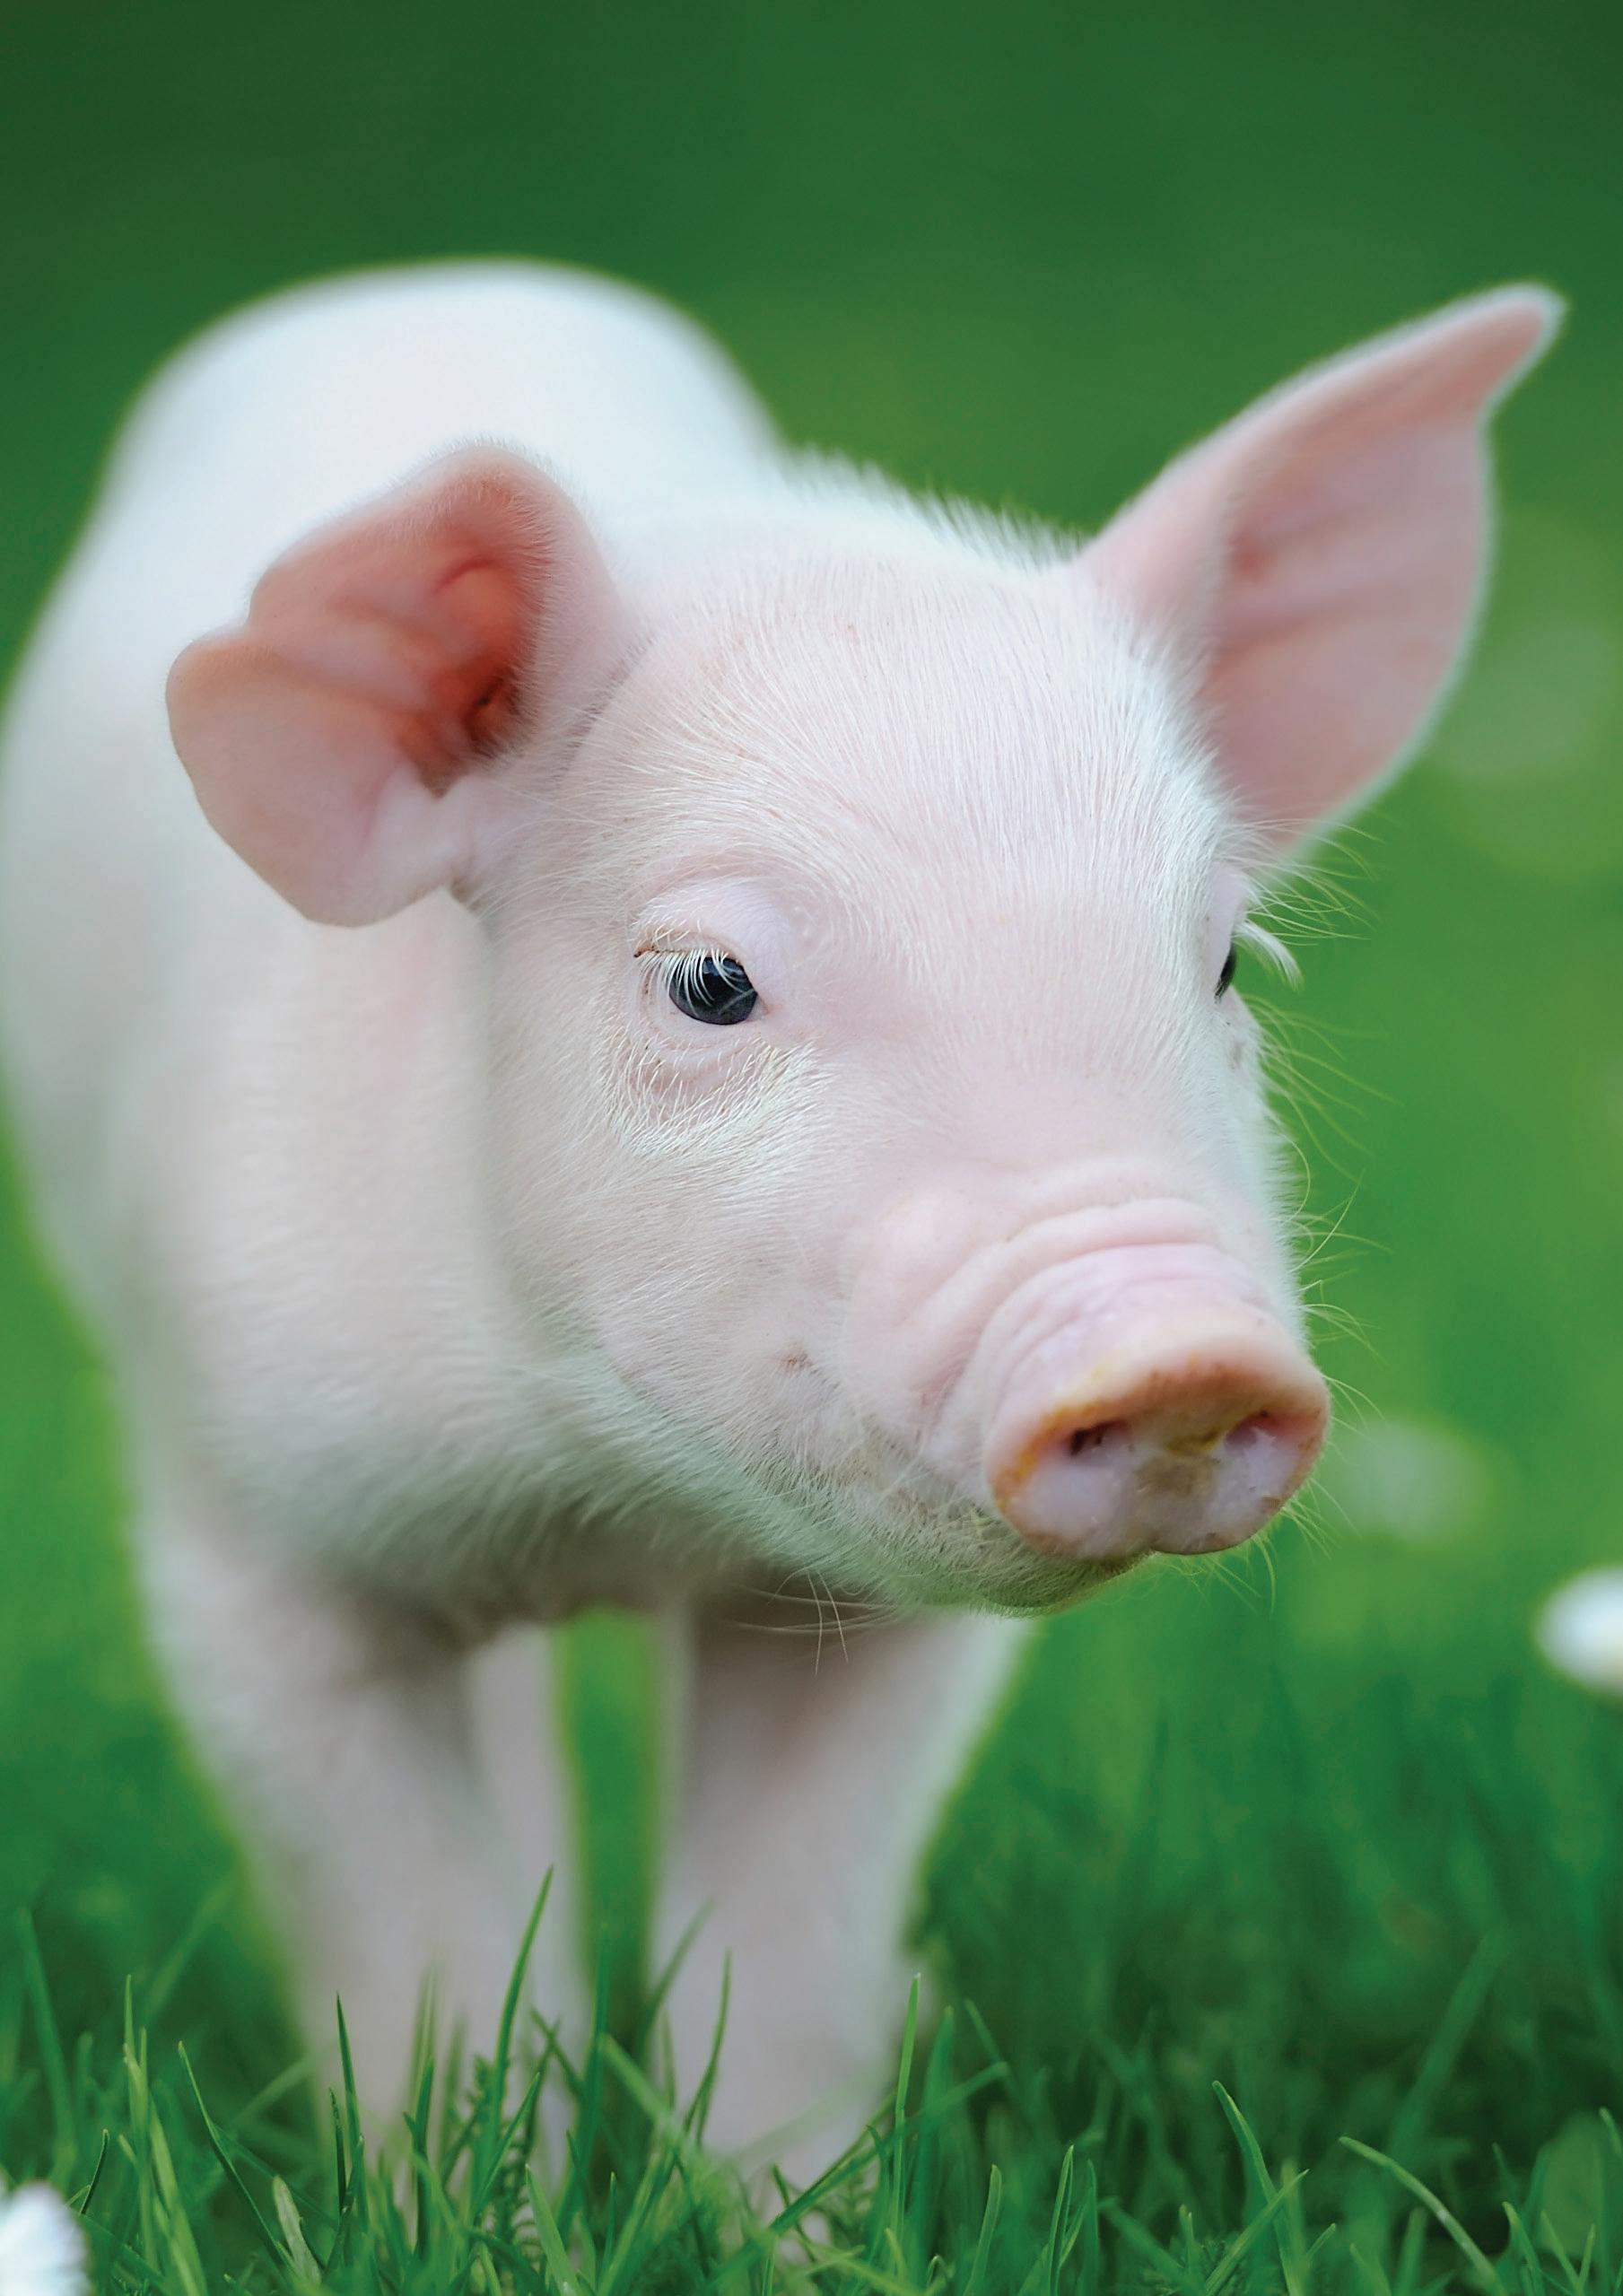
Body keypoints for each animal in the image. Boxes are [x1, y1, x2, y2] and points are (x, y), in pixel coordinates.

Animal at [0, 263, 1557, 2175]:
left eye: (1224, 963)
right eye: (707, 979)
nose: (1178, 1353)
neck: (611, 1502)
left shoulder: (878, 1622)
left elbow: (787, 1947)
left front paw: (785, 2211)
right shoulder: (250, 1532)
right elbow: (418, 1947)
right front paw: (478, 2205)